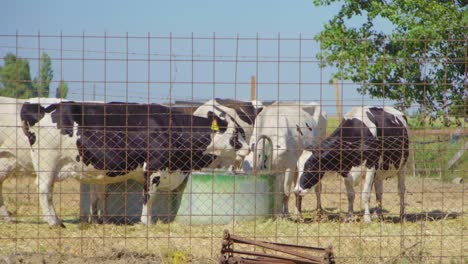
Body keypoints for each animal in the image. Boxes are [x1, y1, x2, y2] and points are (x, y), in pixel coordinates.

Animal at [20, 99, 229, 227]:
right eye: (234, 135)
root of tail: (37, 106)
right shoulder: (153, 169)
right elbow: (149, 197)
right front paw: (147, 222)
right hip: (47, 162)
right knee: (44, 189)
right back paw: (54, 222)